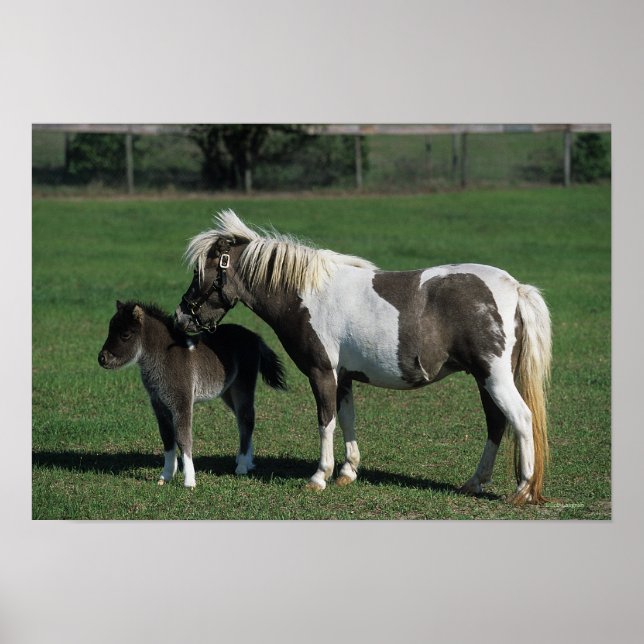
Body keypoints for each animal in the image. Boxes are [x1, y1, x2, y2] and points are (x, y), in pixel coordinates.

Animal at [98, 300, 287, 487]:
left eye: (125, 335)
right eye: (109, 330)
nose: (102, 358)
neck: (164, 357)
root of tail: (254, 336)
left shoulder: (182, 402)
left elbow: (183, 438)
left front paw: (189, 481)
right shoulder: (159, 404)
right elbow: (167, 438)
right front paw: (166, 475)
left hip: (243, 386)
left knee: (247, 419)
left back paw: (241, 466)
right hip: (227, 391)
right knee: (243, 420)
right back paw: (247, 461)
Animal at [174, 210, 551, 504]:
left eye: (202, 272)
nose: (182, 316)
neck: (306, 295)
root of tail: (514, 288)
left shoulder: (322, 373)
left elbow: (325, 421)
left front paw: (319, 477)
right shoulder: (343, 378)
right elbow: (347, 420)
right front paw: (347, 472)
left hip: (494, 377)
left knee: (521, 419)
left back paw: (522, 490)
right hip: (484, 378)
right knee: (496, 423)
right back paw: (475, 483)